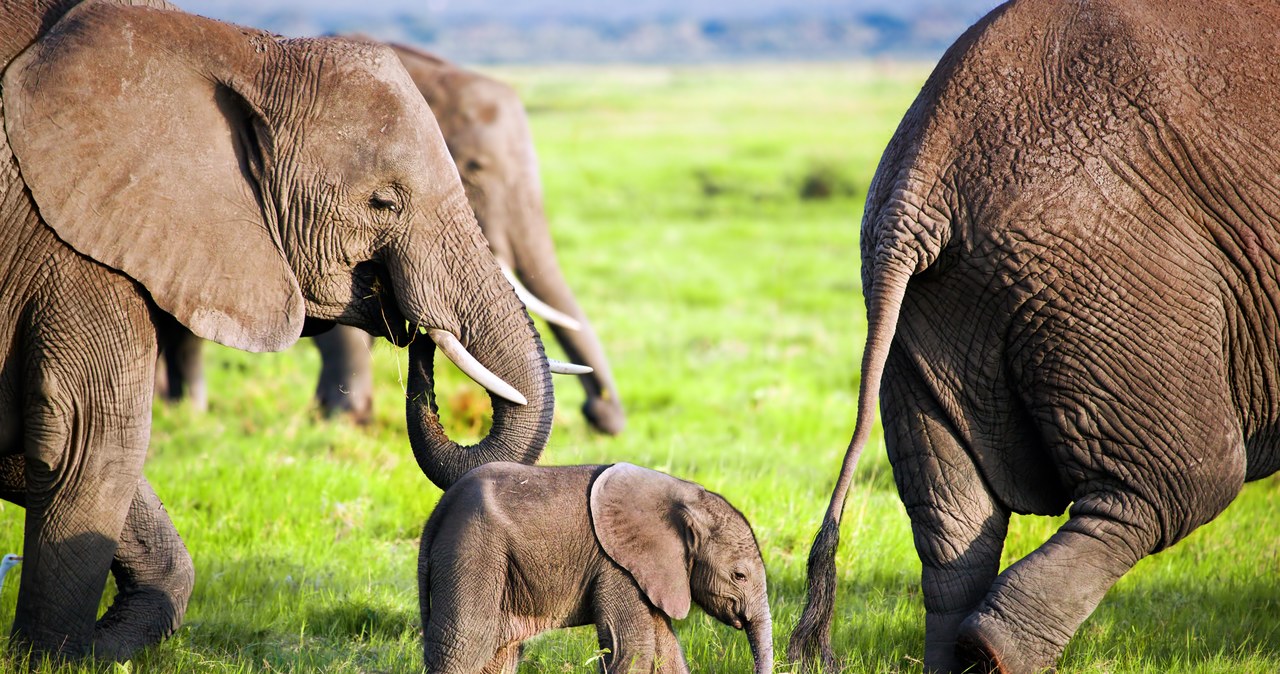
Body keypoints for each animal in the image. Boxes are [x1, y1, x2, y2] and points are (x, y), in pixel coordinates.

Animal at [0, 0, 558, 659]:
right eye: (383, 203)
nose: (419, 336)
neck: (238, 49)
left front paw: (97, 646)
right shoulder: (71, 238)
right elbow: (91, 436)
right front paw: (53, 659)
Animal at [424, 460, 773, 670]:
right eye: (739, 575)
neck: (684, 494)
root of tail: (440, 509)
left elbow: (666, 647)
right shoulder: (617, 566)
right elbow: (633, 645)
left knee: (498, 652)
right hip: (473, 549)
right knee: (466, 643)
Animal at [788, 0, 1280, 670]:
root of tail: (921, 175)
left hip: (925, 315)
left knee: (954, 519)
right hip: (1110, 274)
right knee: (1179, 481)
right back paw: (994, 649)